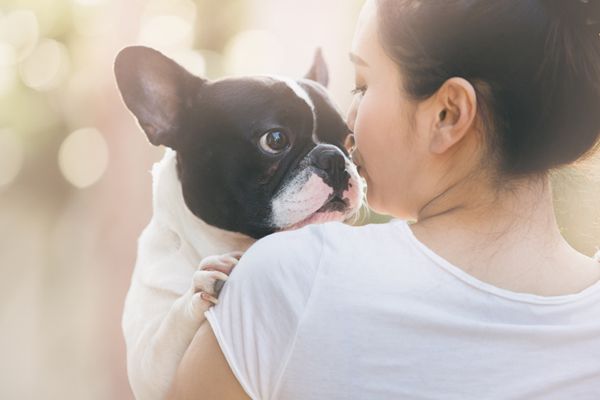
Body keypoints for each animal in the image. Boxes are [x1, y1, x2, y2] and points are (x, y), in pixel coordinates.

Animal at [114, 45, 364, 398]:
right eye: (275, 139)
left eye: (350, 140)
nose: (335, 158)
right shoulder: (149, 369)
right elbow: (166, 335)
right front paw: (201, 284)